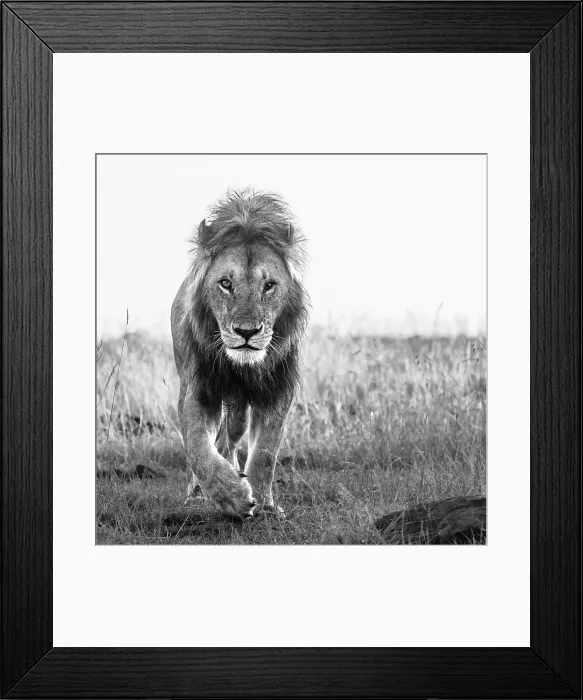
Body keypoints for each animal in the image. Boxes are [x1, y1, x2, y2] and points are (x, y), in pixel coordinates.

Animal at [171, 190, 309, 519]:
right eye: (225, 283)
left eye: (269, 285)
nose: (247, 332)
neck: (242, 367)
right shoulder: (199, 390)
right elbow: (197, 447)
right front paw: (228, 494)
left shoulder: (277, 390)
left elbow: (266, 452)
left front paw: (265, 503)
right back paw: (198, 492)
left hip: (239, 411)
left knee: (228, 437)